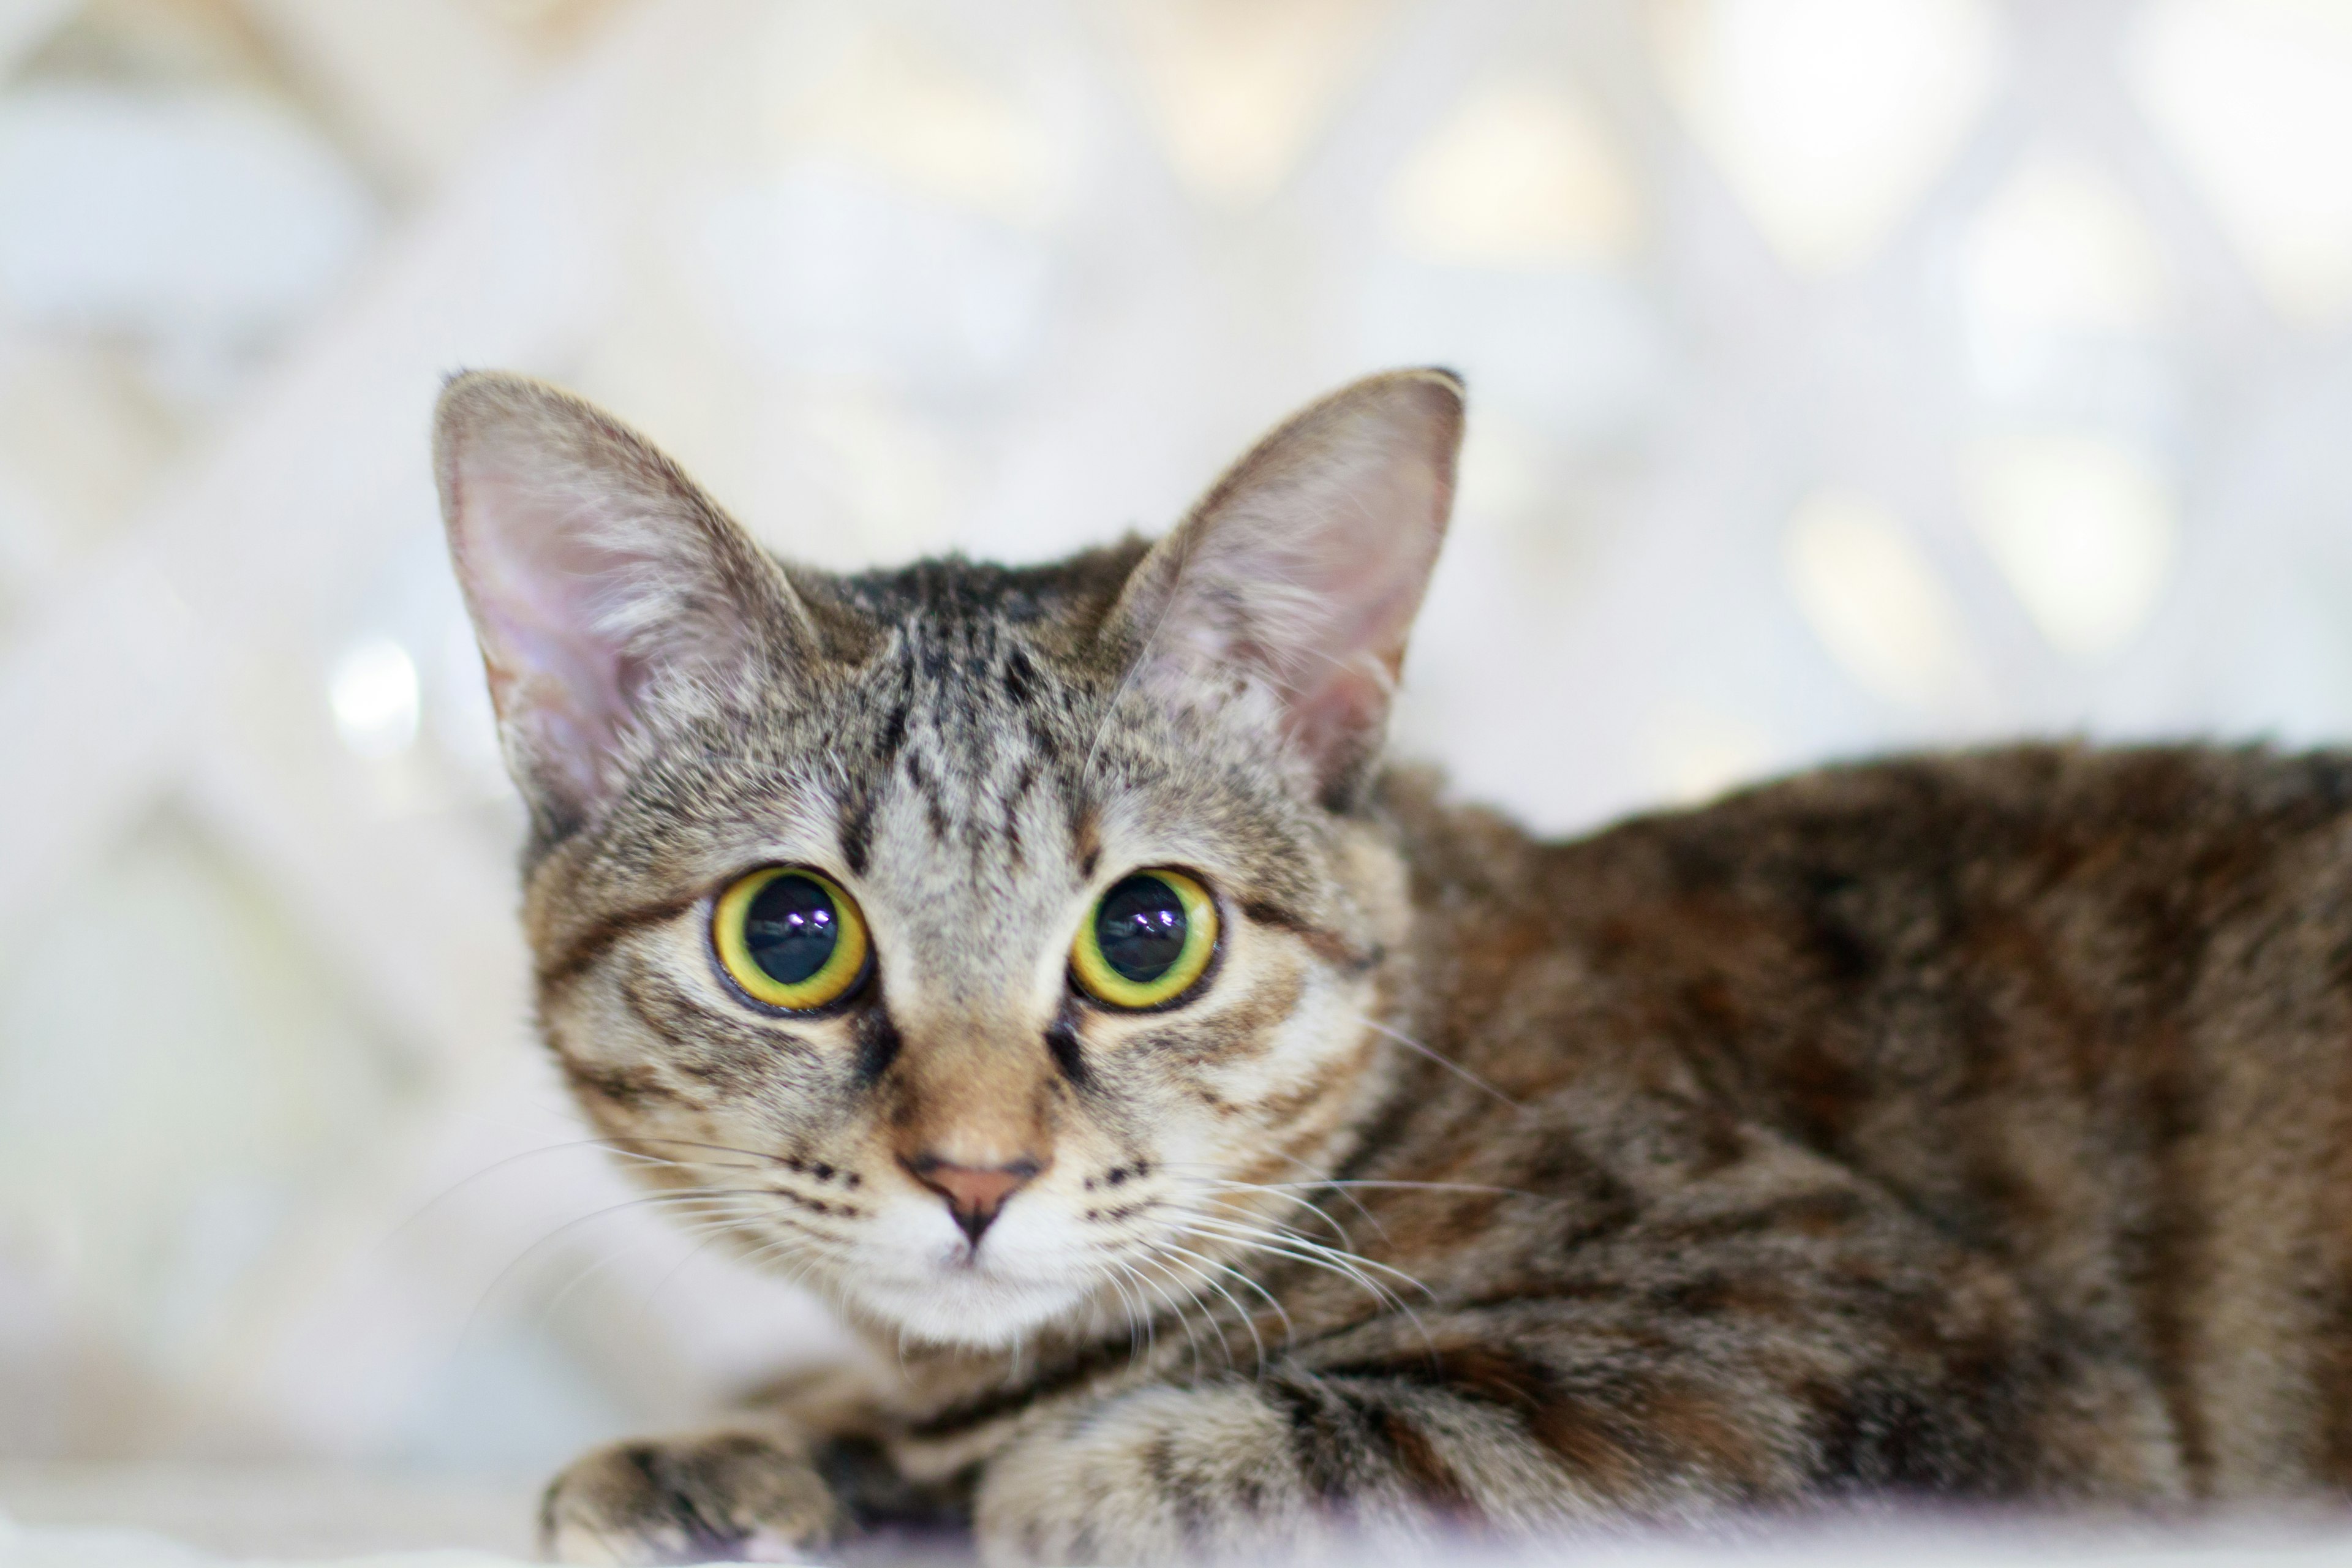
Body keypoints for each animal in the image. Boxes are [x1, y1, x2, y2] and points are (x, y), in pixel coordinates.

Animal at [432, 371, 2352, 1568]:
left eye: (1148, 934)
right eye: (789, 934)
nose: (974, 1172)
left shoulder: (1905, 1353)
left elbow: (1255, 1454)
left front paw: (977, 1464)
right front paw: (754, 1444)